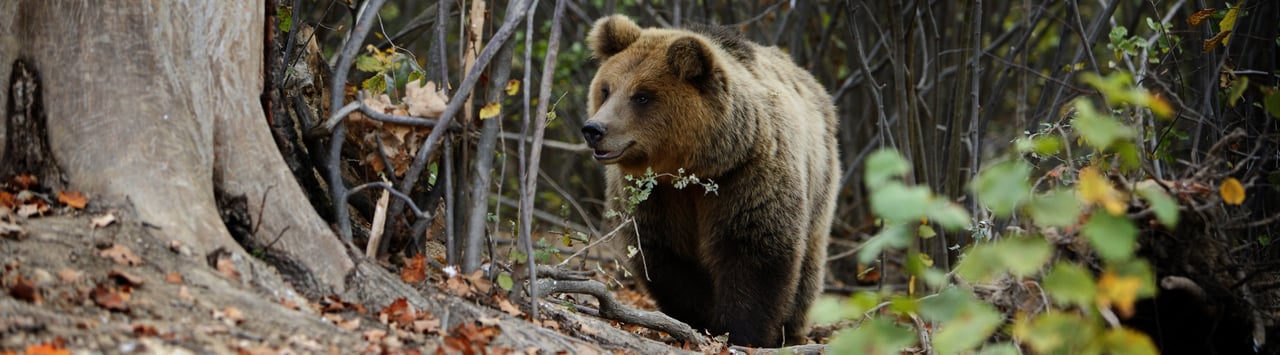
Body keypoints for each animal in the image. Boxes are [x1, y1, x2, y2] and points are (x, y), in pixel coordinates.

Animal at [581, 14, 839, 346]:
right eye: (606, 89)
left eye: (642, 96)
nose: (594, 129)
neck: (695, 167)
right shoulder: (656, 195)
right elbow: (666, 257)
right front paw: (700, 320)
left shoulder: (747, 177)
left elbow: (755, 252)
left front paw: (742, 332)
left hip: (820, 180)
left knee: (808, 266)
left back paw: (792, 330)